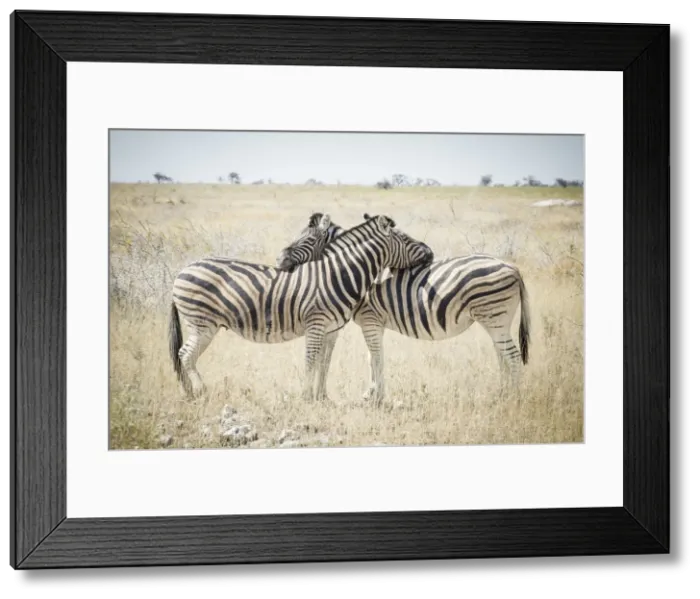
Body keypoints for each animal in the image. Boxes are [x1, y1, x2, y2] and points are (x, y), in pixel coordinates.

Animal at [168, 213, 434, 402]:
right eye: (406, 239)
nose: (430, 252)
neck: (337, 275)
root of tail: (183, 270)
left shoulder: (330, 329)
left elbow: (323, 362)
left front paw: (321, 398)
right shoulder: (316, 324)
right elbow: (310, 359)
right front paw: (306, 398)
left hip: (201, 324)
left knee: (183, 355)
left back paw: (188, 393)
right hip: (202, 324)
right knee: (185, 354)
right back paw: (200, 392)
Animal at [275, 212, 532, 403]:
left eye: (306, 240)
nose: (278, 261)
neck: (350, 272)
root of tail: (514, 269)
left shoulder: (370, 320)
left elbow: (375, 358)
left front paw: (376, 397)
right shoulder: (373, 324)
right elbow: (371, 358)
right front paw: (370, 393)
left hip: (495, 317)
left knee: (512, 356)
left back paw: (514, 399)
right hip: (496, 321)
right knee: (502, 356)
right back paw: (502, 394)